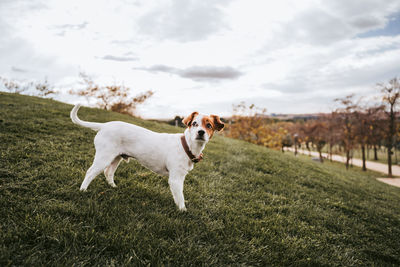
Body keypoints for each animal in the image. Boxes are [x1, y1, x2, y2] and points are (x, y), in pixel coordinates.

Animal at [70, 104, 223, 211]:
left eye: (209, 125)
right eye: (194, 124)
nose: (201, 132)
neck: (187, 144)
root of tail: (105, 125)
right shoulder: (176, 179)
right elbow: (180, 197)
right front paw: (183, 210)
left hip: (116, 157)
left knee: (108, 172)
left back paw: (113, 186)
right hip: (104, 157)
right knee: (91, 172)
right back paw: (83, 190)